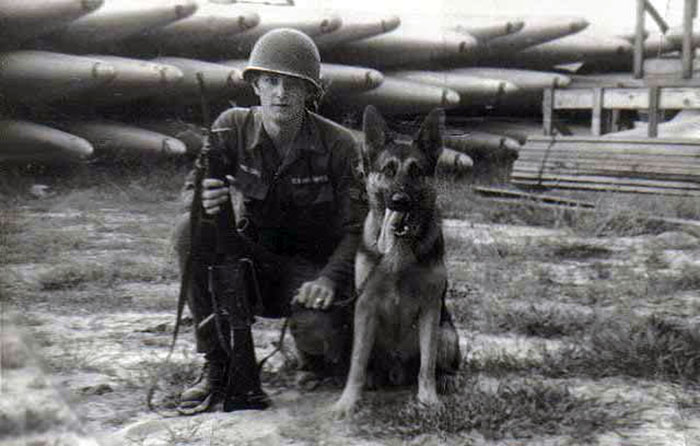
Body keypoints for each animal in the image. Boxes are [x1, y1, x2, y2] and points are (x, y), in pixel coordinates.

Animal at [332, 105, 460, 418]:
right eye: (388, 170)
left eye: (416, 171)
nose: (400, 200)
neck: (399, 251)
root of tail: (396, 371)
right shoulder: (364, 306)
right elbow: (357, 362)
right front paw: (348, 401)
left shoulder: (430, 308)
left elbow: (427, 364)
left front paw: (428, 399)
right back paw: (372, 378)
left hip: (447, 332)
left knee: (438, 362)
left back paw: (447, 378)